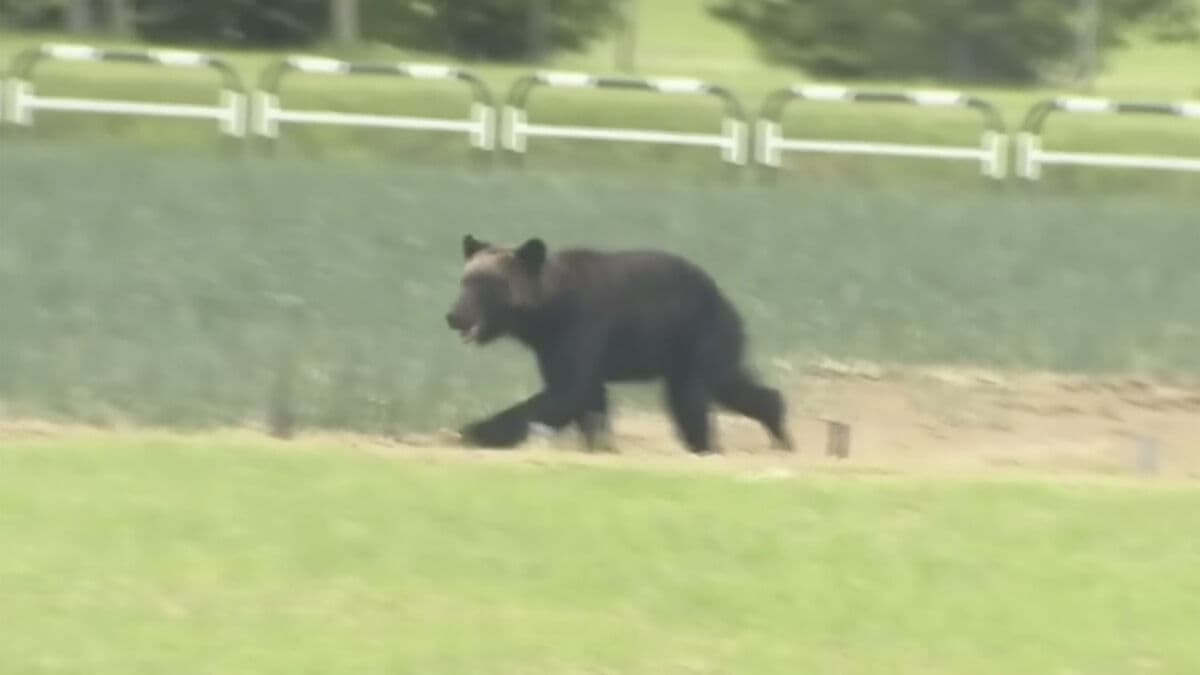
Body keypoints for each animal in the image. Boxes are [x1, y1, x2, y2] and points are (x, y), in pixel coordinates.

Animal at [444, 234, 794, 455]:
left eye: (488, 284)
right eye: (465, 280)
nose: (454, 316)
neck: (546, 315)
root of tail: (726, 299)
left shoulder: (583, 325)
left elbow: (566, 392)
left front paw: (471, 430)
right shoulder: (553, 347)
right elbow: (586, 399)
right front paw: (601, 443)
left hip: (698, 333)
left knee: (695, 395)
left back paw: (713, 444)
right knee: (727, 384)